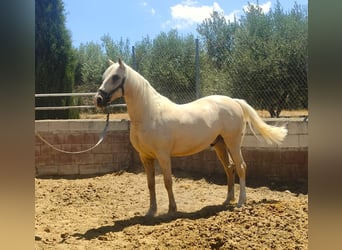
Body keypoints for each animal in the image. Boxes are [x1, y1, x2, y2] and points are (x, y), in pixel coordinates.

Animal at [94, 59, 288, 216]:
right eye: (104, 76)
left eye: (116, 77)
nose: (98, 99)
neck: (149, 114)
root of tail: (234, 101)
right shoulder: (145, 157)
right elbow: (150, 184)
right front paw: (151, 211)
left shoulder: (163, 156)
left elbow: (167, 181)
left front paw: (172, 209)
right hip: (220, 145)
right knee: (229, 168)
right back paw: (228, 200)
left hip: (233, 143)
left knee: (241, 167)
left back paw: (241, 202)